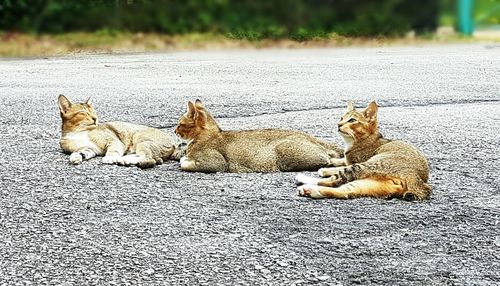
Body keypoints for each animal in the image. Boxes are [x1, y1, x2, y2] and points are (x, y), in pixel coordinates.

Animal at [173, 99, 344, 173]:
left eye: (179, 124)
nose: (174, 131)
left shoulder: (217, 163)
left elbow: (185, 164)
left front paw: (184, 158)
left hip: (286, 154)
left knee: (328, 161)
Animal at [294, 101, 432, 201]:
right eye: (341, 118)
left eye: (352, 120)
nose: (338, 124)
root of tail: (414, 175)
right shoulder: (350, 160)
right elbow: (342, 161)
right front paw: (333, 161)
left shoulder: (355, 161)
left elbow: (341, 166)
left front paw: (325, 169)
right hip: (368, 184)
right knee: (344, 191)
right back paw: (310, 190)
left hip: (367, 165)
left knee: (335, 180)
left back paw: (303, 179)